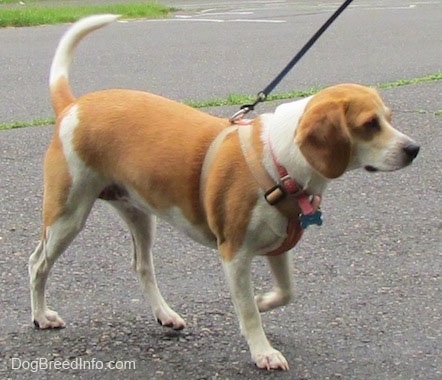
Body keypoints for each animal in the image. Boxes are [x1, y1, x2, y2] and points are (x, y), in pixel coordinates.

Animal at [29, 15, 420, 372]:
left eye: (389, 118)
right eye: (369, 125)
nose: (414, 149)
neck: (278, 160)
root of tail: (73, 106)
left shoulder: (278, 247)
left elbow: (286, 291)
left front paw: (263, 301)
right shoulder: (234, 255)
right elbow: (246, 312)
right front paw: (262, 350)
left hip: (139, 214)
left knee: (141, 266)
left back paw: (164, 314)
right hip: (66, 216)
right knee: (37, 264)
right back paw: (41, 316)